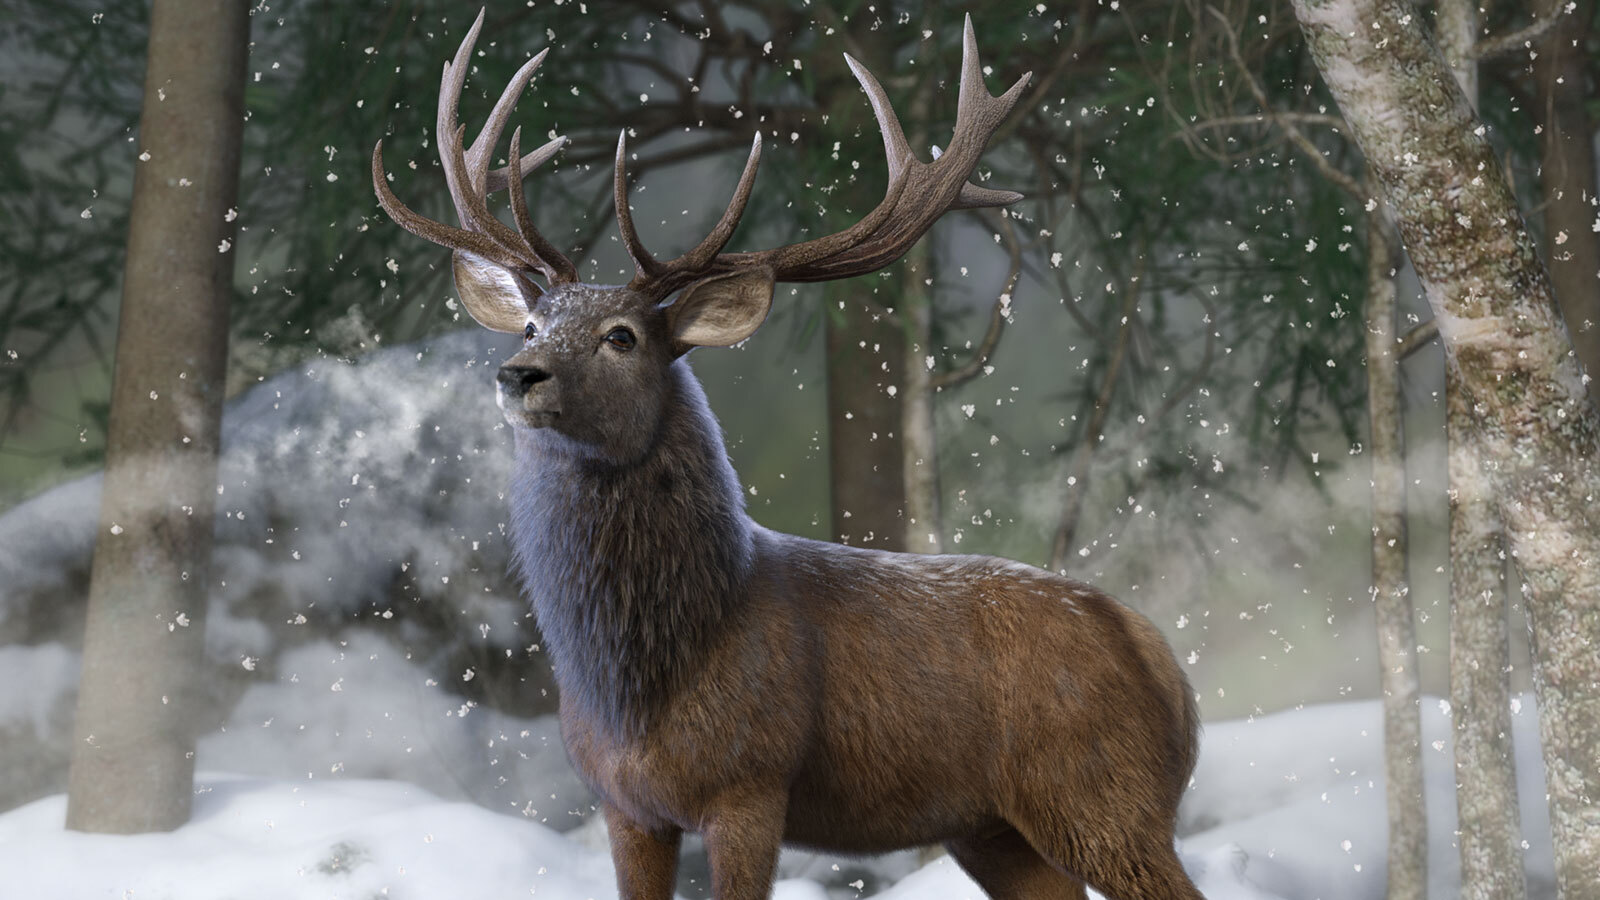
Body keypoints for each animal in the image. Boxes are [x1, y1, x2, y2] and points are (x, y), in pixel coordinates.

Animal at [371, 11, 1204, 900]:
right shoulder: (624, 804)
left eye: (622, 336)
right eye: (531, 324)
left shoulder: (749, 782)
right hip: (997, 828)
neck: (633, 687)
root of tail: (1168, 666)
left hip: (1105, 797)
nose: (517, 372)